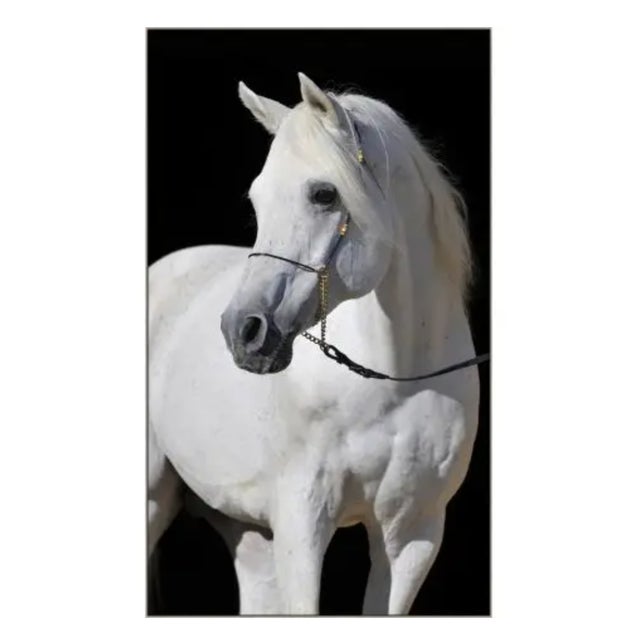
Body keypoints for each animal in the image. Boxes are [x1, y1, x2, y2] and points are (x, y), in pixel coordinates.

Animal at [148, 72, 481, 615]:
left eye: (324, 194)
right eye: (256, 199)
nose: (244, 331)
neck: (394, 383)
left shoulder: (412, 537)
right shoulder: (301, 526)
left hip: (248, 534)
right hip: (155, 500)